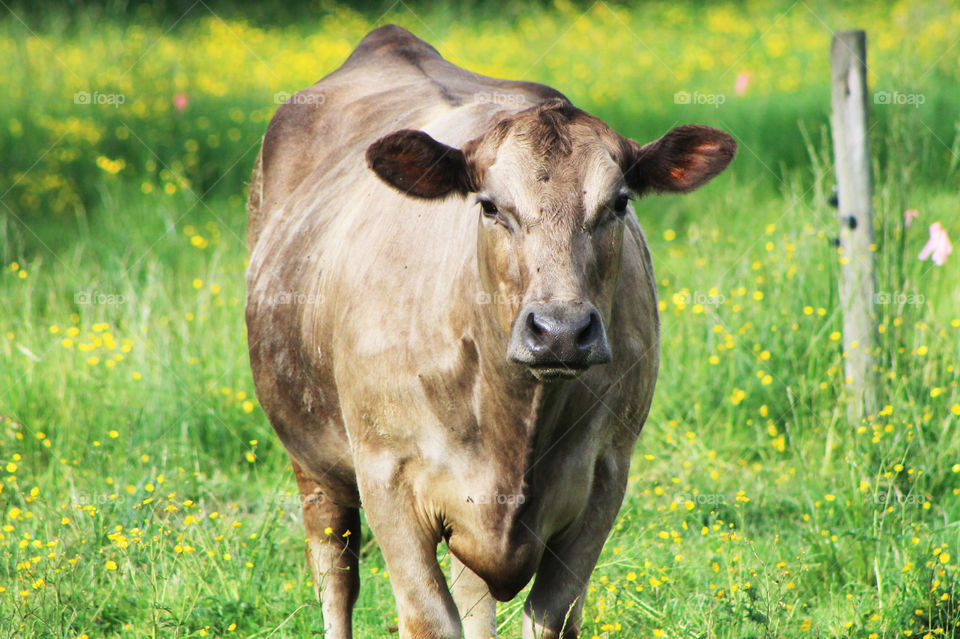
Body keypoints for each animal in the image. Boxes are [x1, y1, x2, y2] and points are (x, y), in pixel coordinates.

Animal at [246, 22, 736, 636]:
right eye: (489, 207)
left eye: (619, 203)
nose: (559, 330)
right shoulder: (386, 476)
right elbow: (429, 618)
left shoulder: (604, 475)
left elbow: (551, 615)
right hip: (312, 462)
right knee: (335, 577)